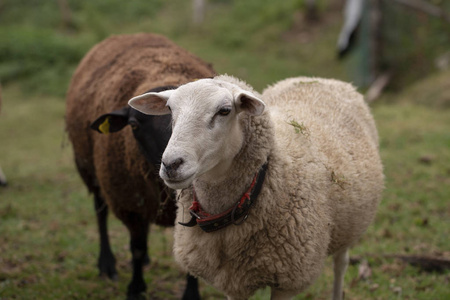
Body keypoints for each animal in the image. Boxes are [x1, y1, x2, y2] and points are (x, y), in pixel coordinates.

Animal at [64, 33, 216, 300]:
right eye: (133, 124)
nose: (172, 165)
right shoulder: (129, 204)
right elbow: (135, 247)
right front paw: (135, 288)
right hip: (91, 171)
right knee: (101, 212)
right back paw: (106, 264)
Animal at [129, 75, 384, 300]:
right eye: (170, 110)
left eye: (224, 110)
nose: (171, 164)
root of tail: (322, 79)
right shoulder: (232, 282)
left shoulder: (288, 280)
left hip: (349, 225)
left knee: (341, 265)